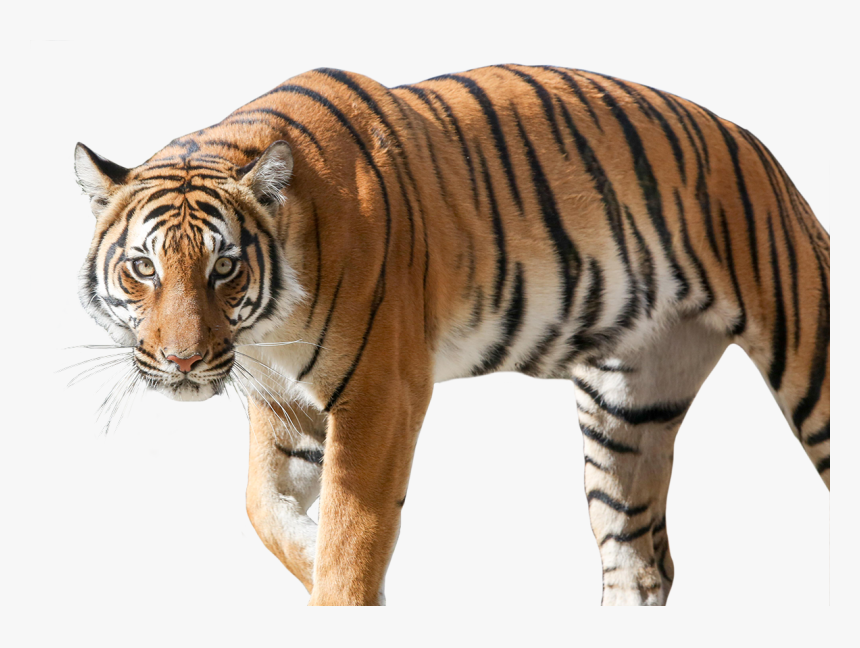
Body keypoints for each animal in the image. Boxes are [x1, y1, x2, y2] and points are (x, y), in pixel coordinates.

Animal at [74, 64, 830, 606]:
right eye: (144, 268)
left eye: (224, 268)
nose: (182, 361)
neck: (268, 329)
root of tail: (762, 152)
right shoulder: (284, 405)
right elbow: (264, 508)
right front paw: (329, 567)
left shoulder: (380, 395)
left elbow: (353, 533)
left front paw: (346, 588)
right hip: (628, 410)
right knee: (640, 562)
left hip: (810, 363)